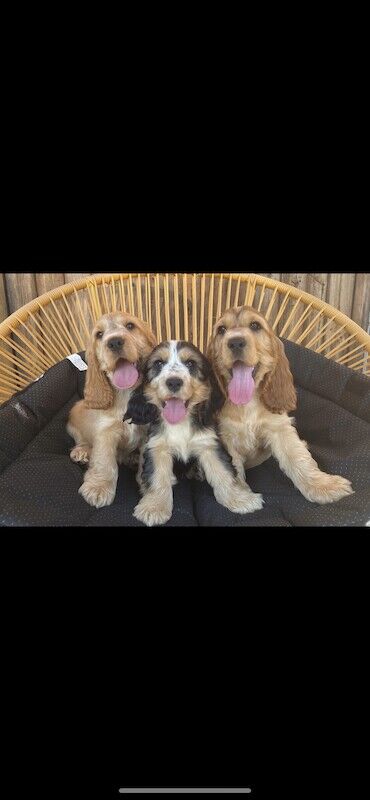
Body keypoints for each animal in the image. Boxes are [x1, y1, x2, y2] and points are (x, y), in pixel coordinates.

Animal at [68, 310, 156, 506]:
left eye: (130, 326)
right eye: (99, 335)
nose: (114, 342)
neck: (126, 394)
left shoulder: (149, 430)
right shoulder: (105, 432)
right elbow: (105, 461)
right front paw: (98, 488)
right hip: (75, 414)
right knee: (82, 441)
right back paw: (81, 452)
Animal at [124, 340, 264, 528]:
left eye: (190, 363)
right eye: (158, 363)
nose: (174, 382)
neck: (180, 423)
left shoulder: (208, 444)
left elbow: (224, 473)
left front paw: (240, 500)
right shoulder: (156, 448)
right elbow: (157, 478)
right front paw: (154, 508)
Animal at [207, 308, 354, 506]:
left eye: (255, 325)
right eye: (221, 330)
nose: (235, 342)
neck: (247, 404)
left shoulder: (279, 427)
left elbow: (298, 458)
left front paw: (324, 486)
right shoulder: (226, 437)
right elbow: (232, 468)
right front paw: (239, 497)